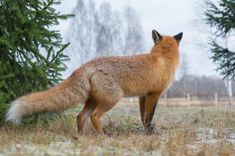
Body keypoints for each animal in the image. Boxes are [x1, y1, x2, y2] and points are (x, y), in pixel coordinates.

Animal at [5, 30, 182, 134]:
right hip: (112, 98)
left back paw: (81, 136)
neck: (163, 59)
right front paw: (150, 133)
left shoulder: (142, 96)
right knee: (94, 116)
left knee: (80, 116)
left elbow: (143, 117)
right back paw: (103, 134)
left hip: (93, 99)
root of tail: (87, 64)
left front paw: (146, 132)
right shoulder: (154, 94)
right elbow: (149, 116)